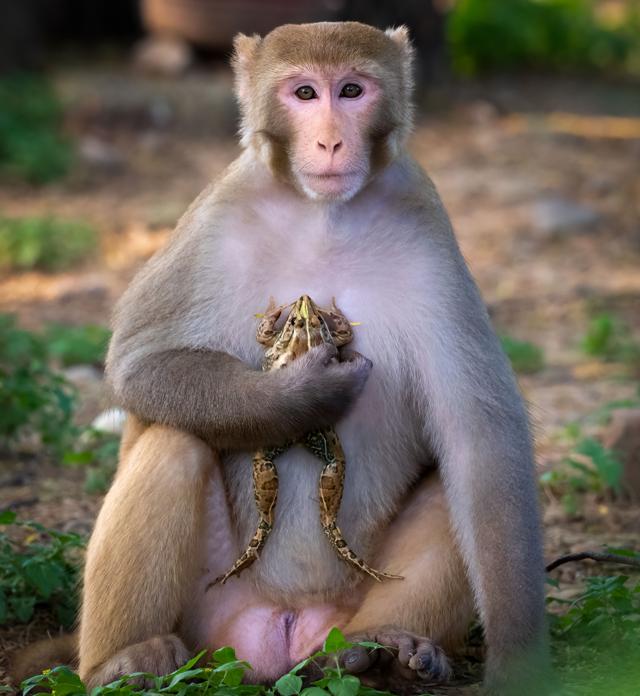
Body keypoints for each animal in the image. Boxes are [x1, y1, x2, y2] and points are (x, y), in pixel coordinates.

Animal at [12, 22, 551, 695]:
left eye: (352, 91)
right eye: (304, 92)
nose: (330, 138)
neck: (323, 214)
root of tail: (279, 637)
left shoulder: (427, 227)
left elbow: (480, 439)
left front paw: (520, 660)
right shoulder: (216, 216)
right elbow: (141, 362)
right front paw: (298, 396)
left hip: (342, 609)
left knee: (448, 486)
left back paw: (388, 651)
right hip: (210, 619)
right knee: (174, 442)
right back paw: (123, 660)